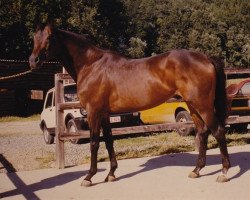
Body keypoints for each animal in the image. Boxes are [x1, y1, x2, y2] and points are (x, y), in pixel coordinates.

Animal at [28, 24, 230, 187]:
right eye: (34, 38)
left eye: (49, 38)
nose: (33, 61)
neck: (91, 65)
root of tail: (206, 57)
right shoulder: (104, 114)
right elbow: (109, 141)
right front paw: (111, 174)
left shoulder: (93, 112)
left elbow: (94, 143)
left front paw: (89, 177)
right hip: (193, 106)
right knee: (202, 132)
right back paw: (197, 170)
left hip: (203, 105)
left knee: (218, 131)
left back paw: (224, 173)